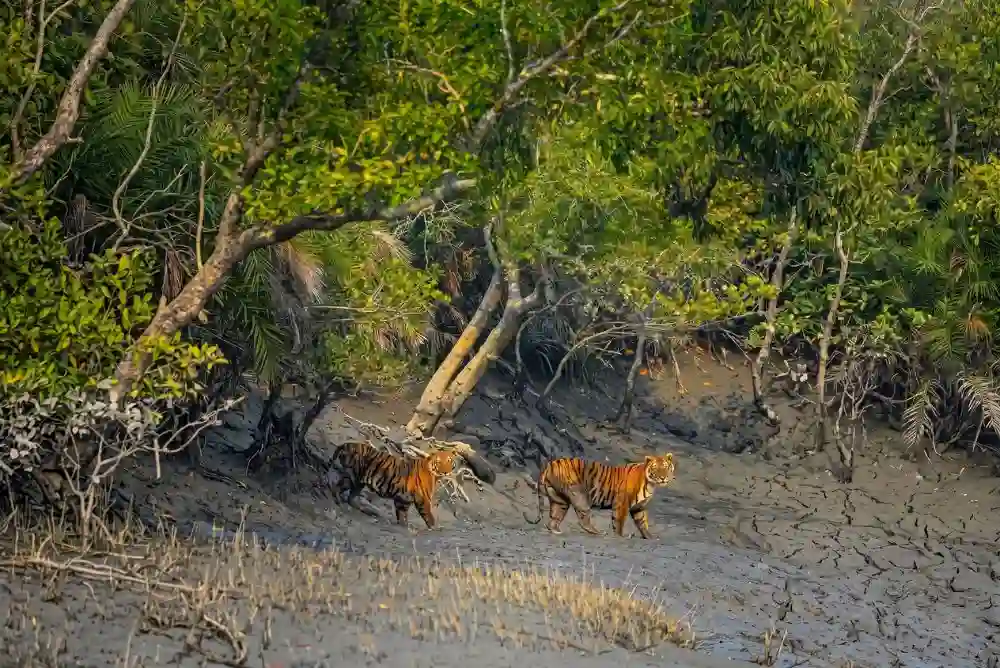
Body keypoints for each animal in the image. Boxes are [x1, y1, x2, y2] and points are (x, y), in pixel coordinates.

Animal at [523, 453, 676, 539]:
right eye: (656, 469)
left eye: (665, 467)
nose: (663, 478)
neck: (651, 483)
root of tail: (550, 464)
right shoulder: (622, 503)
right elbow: (619, 521)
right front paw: (621, 536)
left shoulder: (639, 507)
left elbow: (642, 522)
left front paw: (649, 537)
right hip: (579, 496)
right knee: (583, 519)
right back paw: (598, 533)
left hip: (559, 499)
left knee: (553, 519)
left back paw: (557, 531)